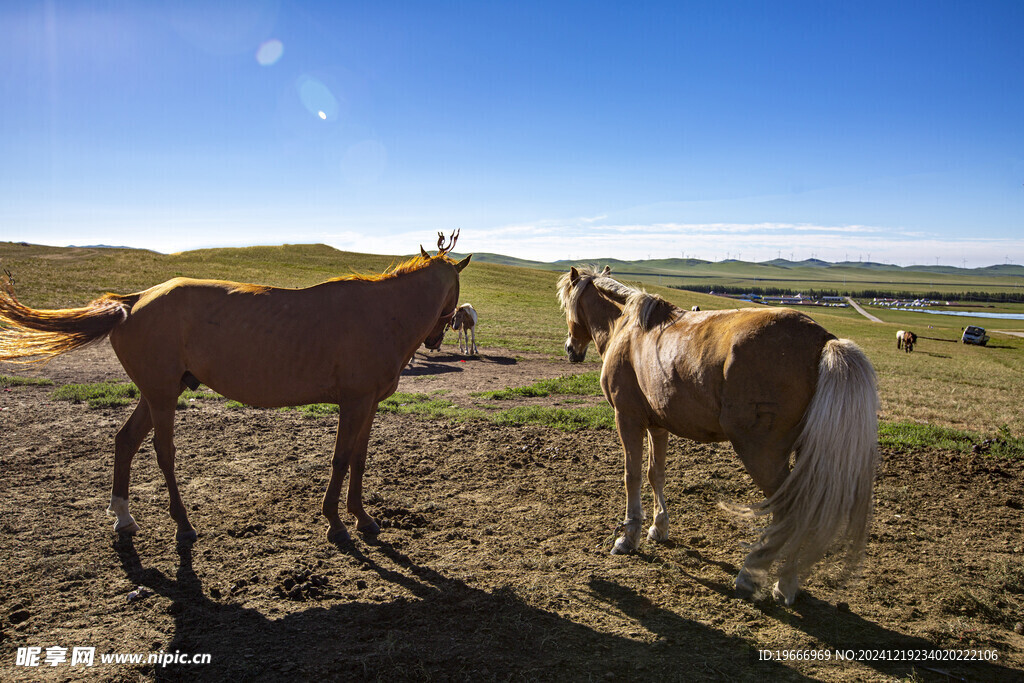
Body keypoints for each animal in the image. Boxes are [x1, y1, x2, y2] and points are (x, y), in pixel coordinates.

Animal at [0, 232, 471, 548]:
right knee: (163, 453)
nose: (435, 340)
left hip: (157, 393)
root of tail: (133, 301)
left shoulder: (369, 403)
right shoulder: (353, 402)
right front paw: (336, 522)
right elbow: (340, 459)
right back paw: (182, 524)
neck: (384, 312)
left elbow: (359, 458)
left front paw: (363, 517)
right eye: (456, 291)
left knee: (125, 441)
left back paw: (123, 518)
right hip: (162, 396)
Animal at [557, 266, 876, 602]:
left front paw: (629, 537)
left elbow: (631, 476)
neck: (628, 329)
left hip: (761, 454)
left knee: (789, 510)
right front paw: (659, 527)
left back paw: (752, 574)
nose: (570, 349)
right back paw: (786, 582)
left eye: (568, 307)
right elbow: (655, 474)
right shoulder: (658, 425)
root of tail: (823, 341)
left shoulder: (628, 419)